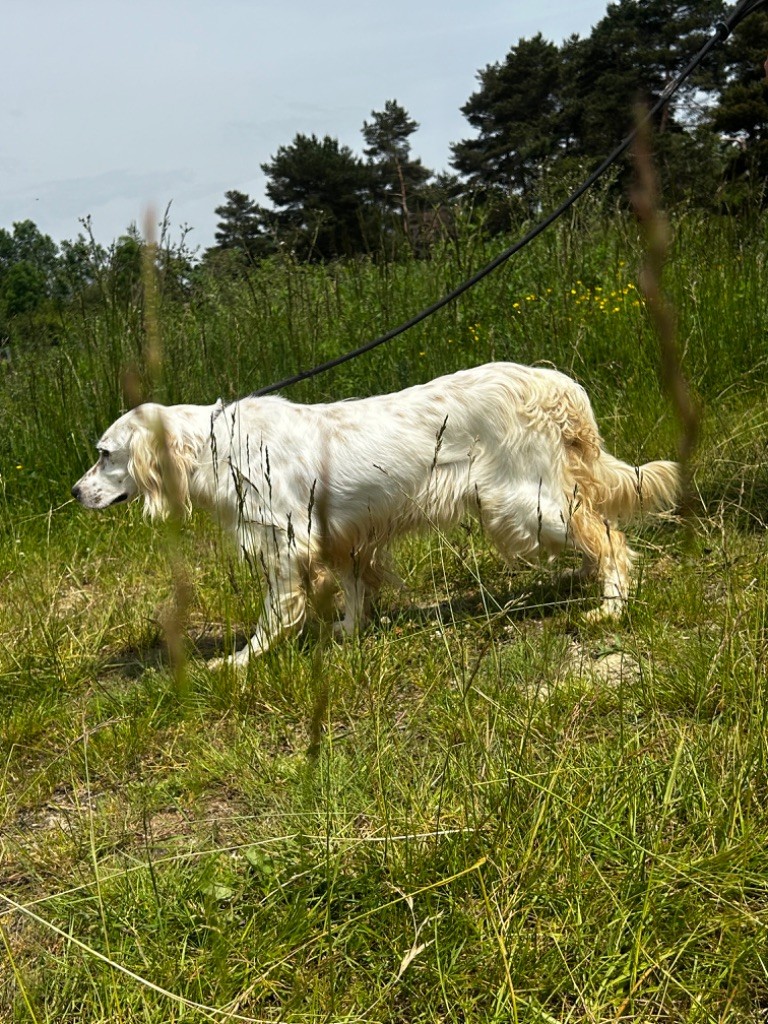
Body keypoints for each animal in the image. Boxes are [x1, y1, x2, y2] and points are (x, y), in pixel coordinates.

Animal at [72, 364, 679, 667]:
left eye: (104, 454)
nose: (76, 492)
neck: (221, 447)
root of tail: (552, 383)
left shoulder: (285, 541)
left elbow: (275, 613)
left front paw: (242, 660)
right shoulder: (337, 534)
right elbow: (353, 586)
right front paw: (347, 628)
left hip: (520, 506)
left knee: (609, 538)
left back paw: (610, 607)